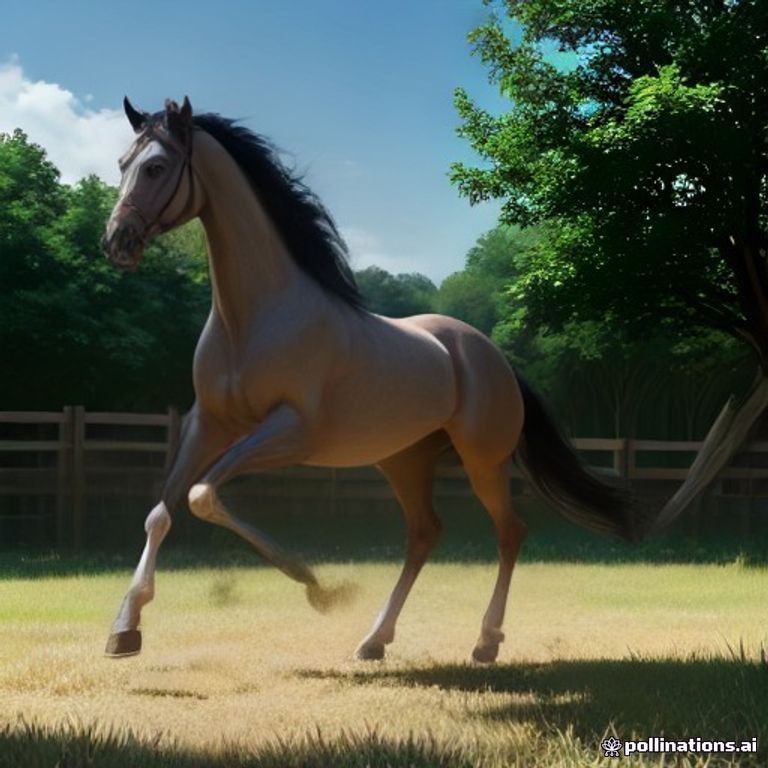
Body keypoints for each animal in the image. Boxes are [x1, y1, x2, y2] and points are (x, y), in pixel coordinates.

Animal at [102, 96, 641, 663]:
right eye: (122, 163)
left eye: (156, 166)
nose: (117, 242)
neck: (254, 318)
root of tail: (491, 354)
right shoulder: (208, 423)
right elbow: (162, 510)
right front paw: (124, 629)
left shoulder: (291, 432)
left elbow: (202, 495)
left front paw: (319, 586)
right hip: (403, 460)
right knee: (424, 534)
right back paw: (375, 639)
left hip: (483, 461)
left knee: (510, 532)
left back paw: (485, 641)